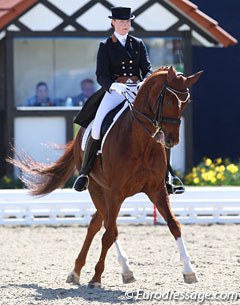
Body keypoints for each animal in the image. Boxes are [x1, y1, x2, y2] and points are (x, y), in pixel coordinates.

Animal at [10, 66, 203, 288]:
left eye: (185, 103)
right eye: (170, 101)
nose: (172, 140)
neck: (141, 141)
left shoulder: (157, 190)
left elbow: (174, 225)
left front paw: (189, 270)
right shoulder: (115, 193)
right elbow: (110, 233)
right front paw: (96, 277)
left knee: (96, 222)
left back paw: (79, 271)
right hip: (97, 188)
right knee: (107, 225)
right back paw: (114, 270)